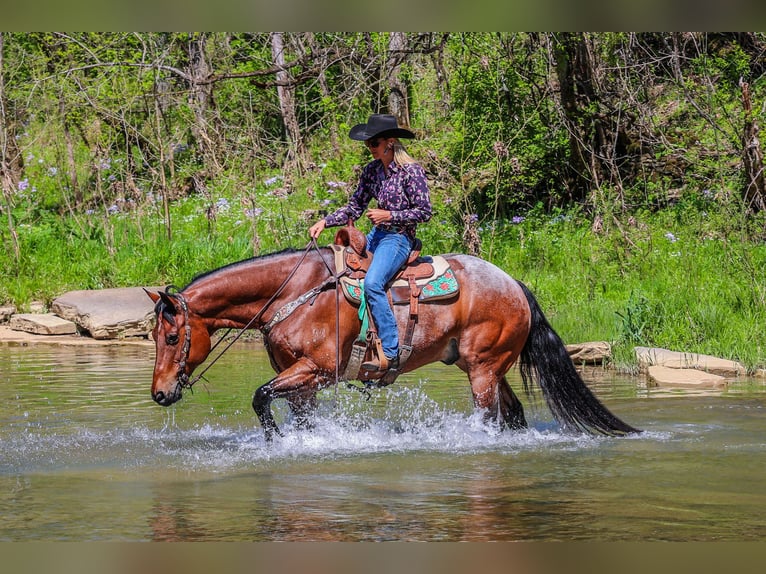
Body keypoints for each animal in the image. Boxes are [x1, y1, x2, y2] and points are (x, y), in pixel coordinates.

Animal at [146, 243, 640, 440]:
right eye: (153, 336)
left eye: (171, 336)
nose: (160, 394)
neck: (293, 295)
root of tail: (514, 284)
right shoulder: (299, 381)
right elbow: (291, 414)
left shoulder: (317, 372)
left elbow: (259, 397)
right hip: (483, 366)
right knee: (513, 413)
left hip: (483, 370)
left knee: (490, 416)